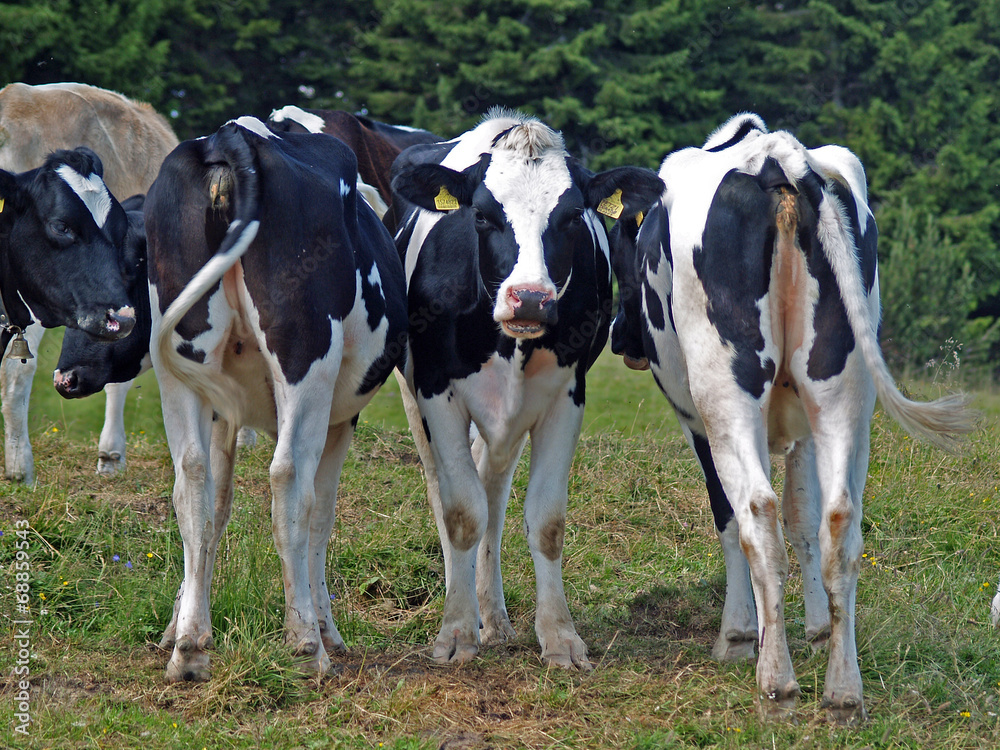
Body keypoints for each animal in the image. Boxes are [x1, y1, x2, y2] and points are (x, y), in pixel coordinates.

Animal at [56, 116, 408, 680]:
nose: (63, 378)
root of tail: (232, 135)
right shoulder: (338, 418)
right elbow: (320, 515)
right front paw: (326, 628)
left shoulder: (222, 410)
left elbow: (214, 509)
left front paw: (179, 624)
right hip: (305, 359)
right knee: (288, 481)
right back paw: (306, 645)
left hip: (182, 371)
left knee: (190, 482)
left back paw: (189, 652)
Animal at [390, 110, 664, 668]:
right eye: (481, 215)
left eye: (571, 217)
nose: (531, 299)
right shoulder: (434, 389)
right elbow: (459, 512)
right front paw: (456, 632)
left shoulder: (565, 397)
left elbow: (546, 521)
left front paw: (560, 637)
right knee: (445, 490)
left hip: (510, 420)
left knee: (492, 495)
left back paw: (492, 616)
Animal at [608, 114, 976, 724]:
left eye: (620, 253)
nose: (621, 339)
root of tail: (775, 155)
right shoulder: (804, 429)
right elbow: (804, 519)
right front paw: (819, 628)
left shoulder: (697, 422)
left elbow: (729, 517)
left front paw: (739, 636)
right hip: (840, 392)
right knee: (840, 520)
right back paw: (843, 692)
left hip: (726, 395)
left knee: (756, 514)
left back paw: (775, 685)